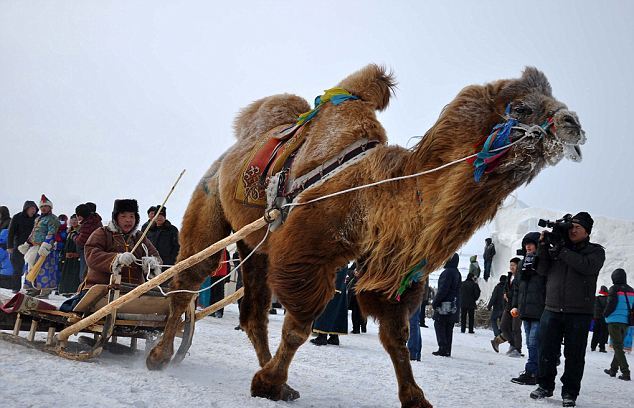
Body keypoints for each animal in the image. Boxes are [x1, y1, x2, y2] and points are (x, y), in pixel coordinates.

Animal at [147, 64, 584, 408]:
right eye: (522, 107)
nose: (574, 125)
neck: (373, 188)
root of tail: (230, 152)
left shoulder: (388, 264)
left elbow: (396, 334)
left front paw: (416, 398)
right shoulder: (307, 251)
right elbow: (300, 325)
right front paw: (269, 383)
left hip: (256, 245)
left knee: (252, 313)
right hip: (210, 206)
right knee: (189, 281)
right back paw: (159, 356)